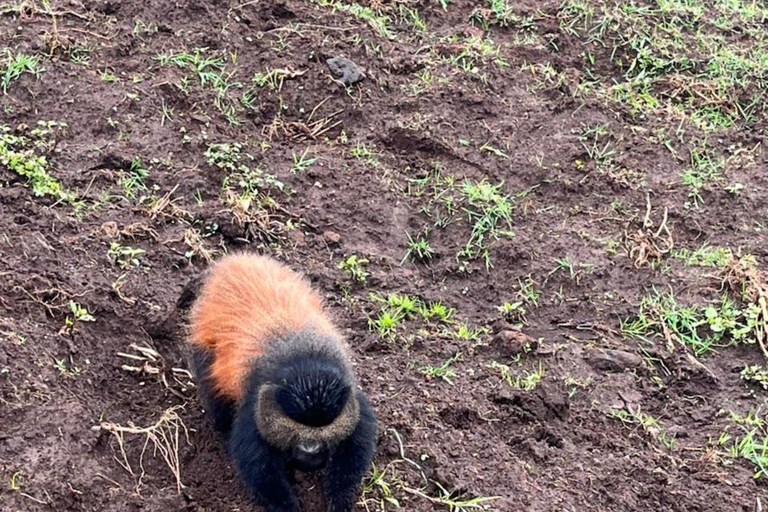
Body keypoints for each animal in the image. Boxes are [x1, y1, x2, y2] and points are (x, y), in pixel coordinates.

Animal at [186, 253, 377, 512]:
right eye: (295, 427)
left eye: (323, 431)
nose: (310, 449)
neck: (306, 359)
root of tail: (233, 261)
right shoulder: (257, 403)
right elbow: (258, 464)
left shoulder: (351, 396)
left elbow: (355, 446)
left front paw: (340, 501)